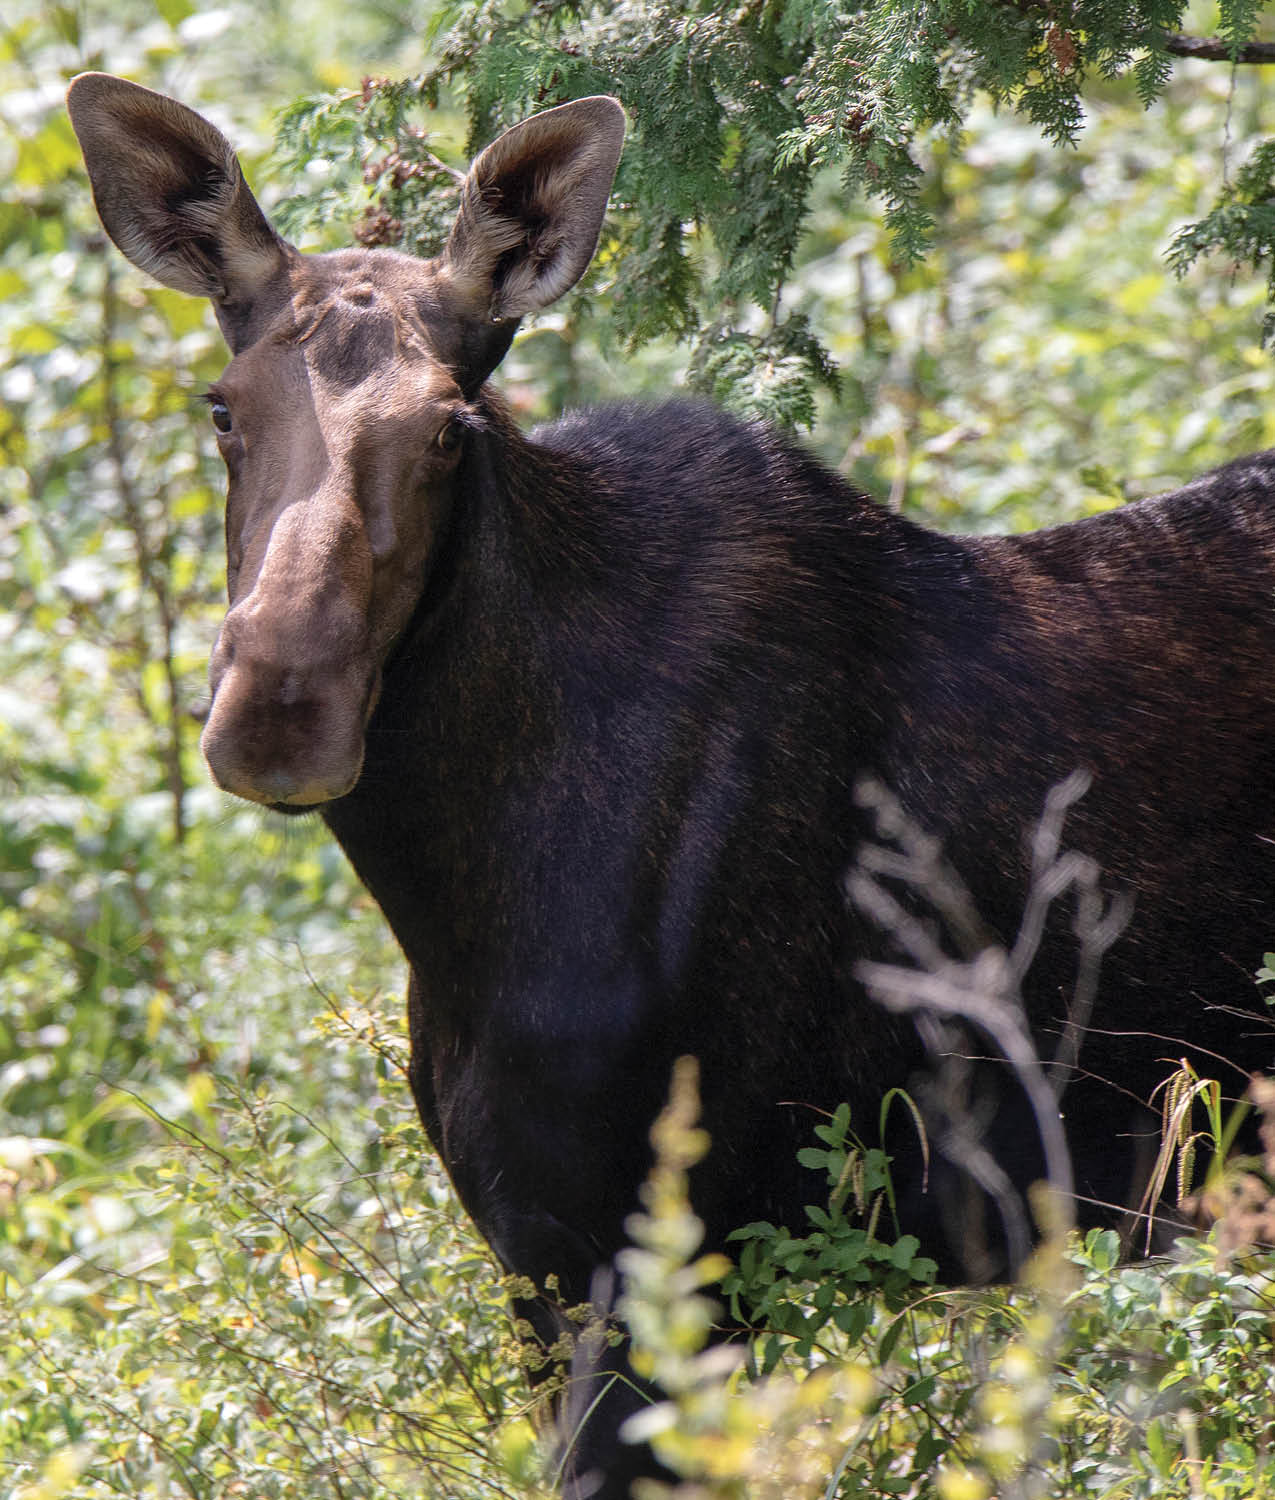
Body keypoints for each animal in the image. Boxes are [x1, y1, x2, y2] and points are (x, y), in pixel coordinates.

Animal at [72, 73, 1272, 1500]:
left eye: (450, 427)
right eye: (220, 405)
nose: (279, 711)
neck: (456, 893)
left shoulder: (666, 1253)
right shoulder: (535, 1261)